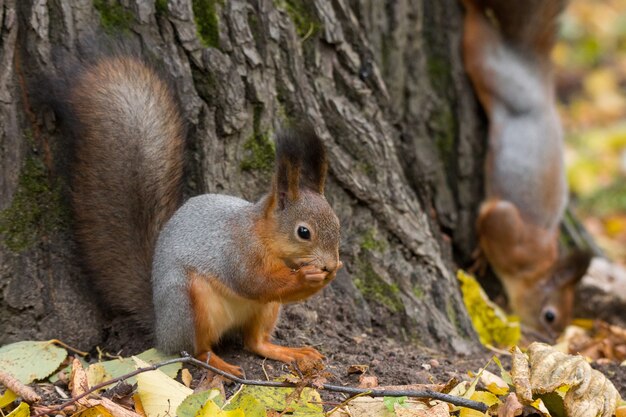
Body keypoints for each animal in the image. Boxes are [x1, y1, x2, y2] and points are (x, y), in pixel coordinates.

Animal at [63, 54, 342, 374]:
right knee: (195, 350)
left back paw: (287, 352)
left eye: (338, 224)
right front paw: (308, 276)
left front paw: (330, 274)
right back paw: (220, 364)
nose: (330, 264)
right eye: (303, 232)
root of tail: (162, 328)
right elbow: (254, 282)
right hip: (192, 302)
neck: (264, 236)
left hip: (266, 310)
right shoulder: (237, 251)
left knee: (255, 342)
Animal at [458, 0, 588, 334]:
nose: (549, 340)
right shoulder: (506, 226)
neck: (536, 263)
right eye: (550, 315)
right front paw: (481, 254)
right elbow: (492, 217)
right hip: (492, 71)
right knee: (478, 33)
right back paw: (471, 8)